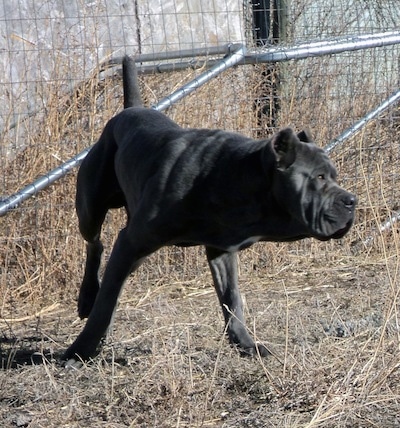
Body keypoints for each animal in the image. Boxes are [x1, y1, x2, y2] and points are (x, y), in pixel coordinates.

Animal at [63, 55, 356, 362]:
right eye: (319, 177)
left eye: (334, 176)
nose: (351, 201)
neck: (237, 176)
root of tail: (129, 110)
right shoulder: (132, 241)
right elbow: (105, 305)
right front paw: (79, 350)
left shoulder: (222, 250)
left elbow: (232, 300)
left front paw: (246, 344)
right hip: (92, 208)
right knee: (95, 246)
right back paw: (87, 299)